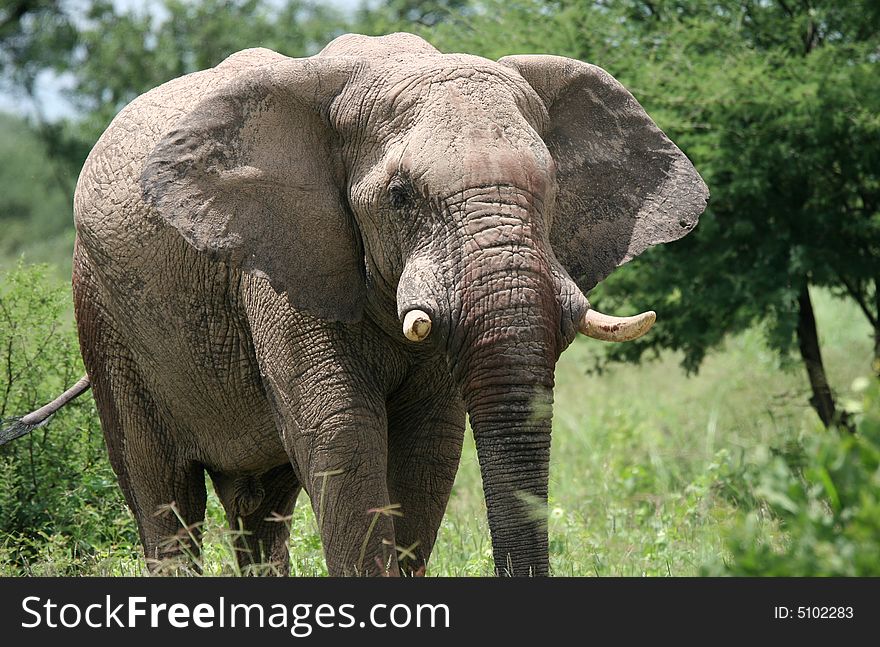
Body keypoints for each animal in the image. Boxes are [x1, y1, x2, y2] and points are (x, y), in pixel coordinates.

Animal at [1, 31, 708, 576]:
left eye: (554, 189)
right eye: (400, 196)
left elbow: (429, 445)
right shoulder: (284, 258)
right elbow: (341, 432)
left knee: (260, 507)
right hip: (103, 311)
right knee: (163, 498)